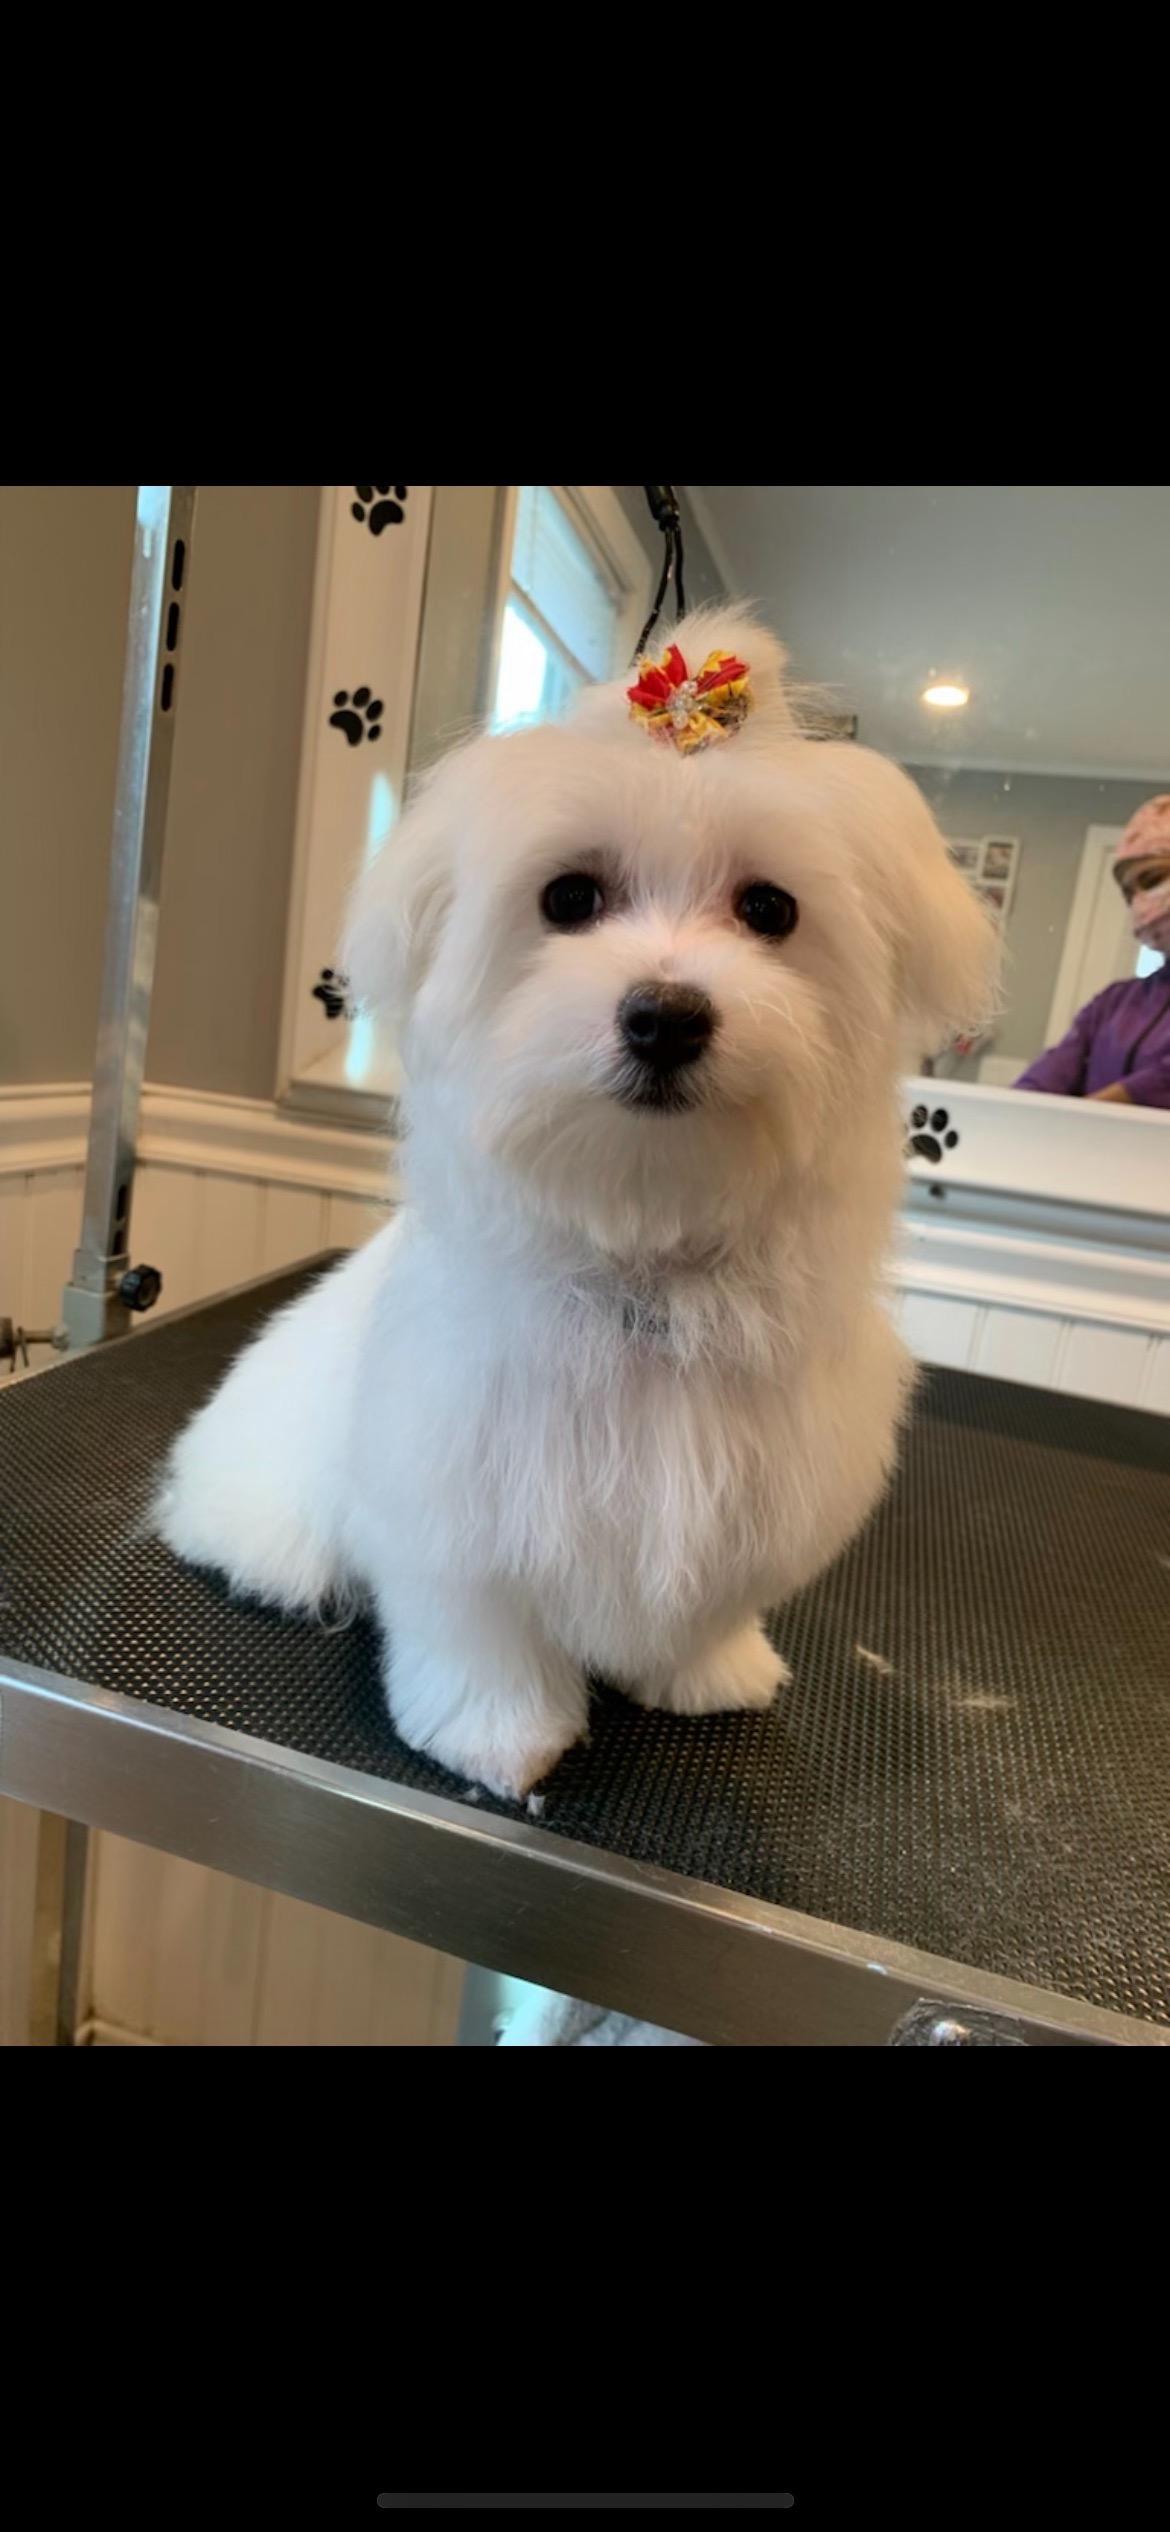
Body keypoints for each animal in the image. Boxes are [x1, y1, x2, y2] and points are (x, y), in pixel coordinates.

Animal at [156, 606, 996, 1799]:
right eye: (569, 899)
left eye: (770, 909)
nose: (666, 1015)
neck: (642, 1239)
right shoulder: (460, 1492)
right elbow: (478, 1626)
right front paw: (498, 1732)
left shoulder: (753, 1486)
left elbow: (707, 1605)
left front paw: (707, 1671)